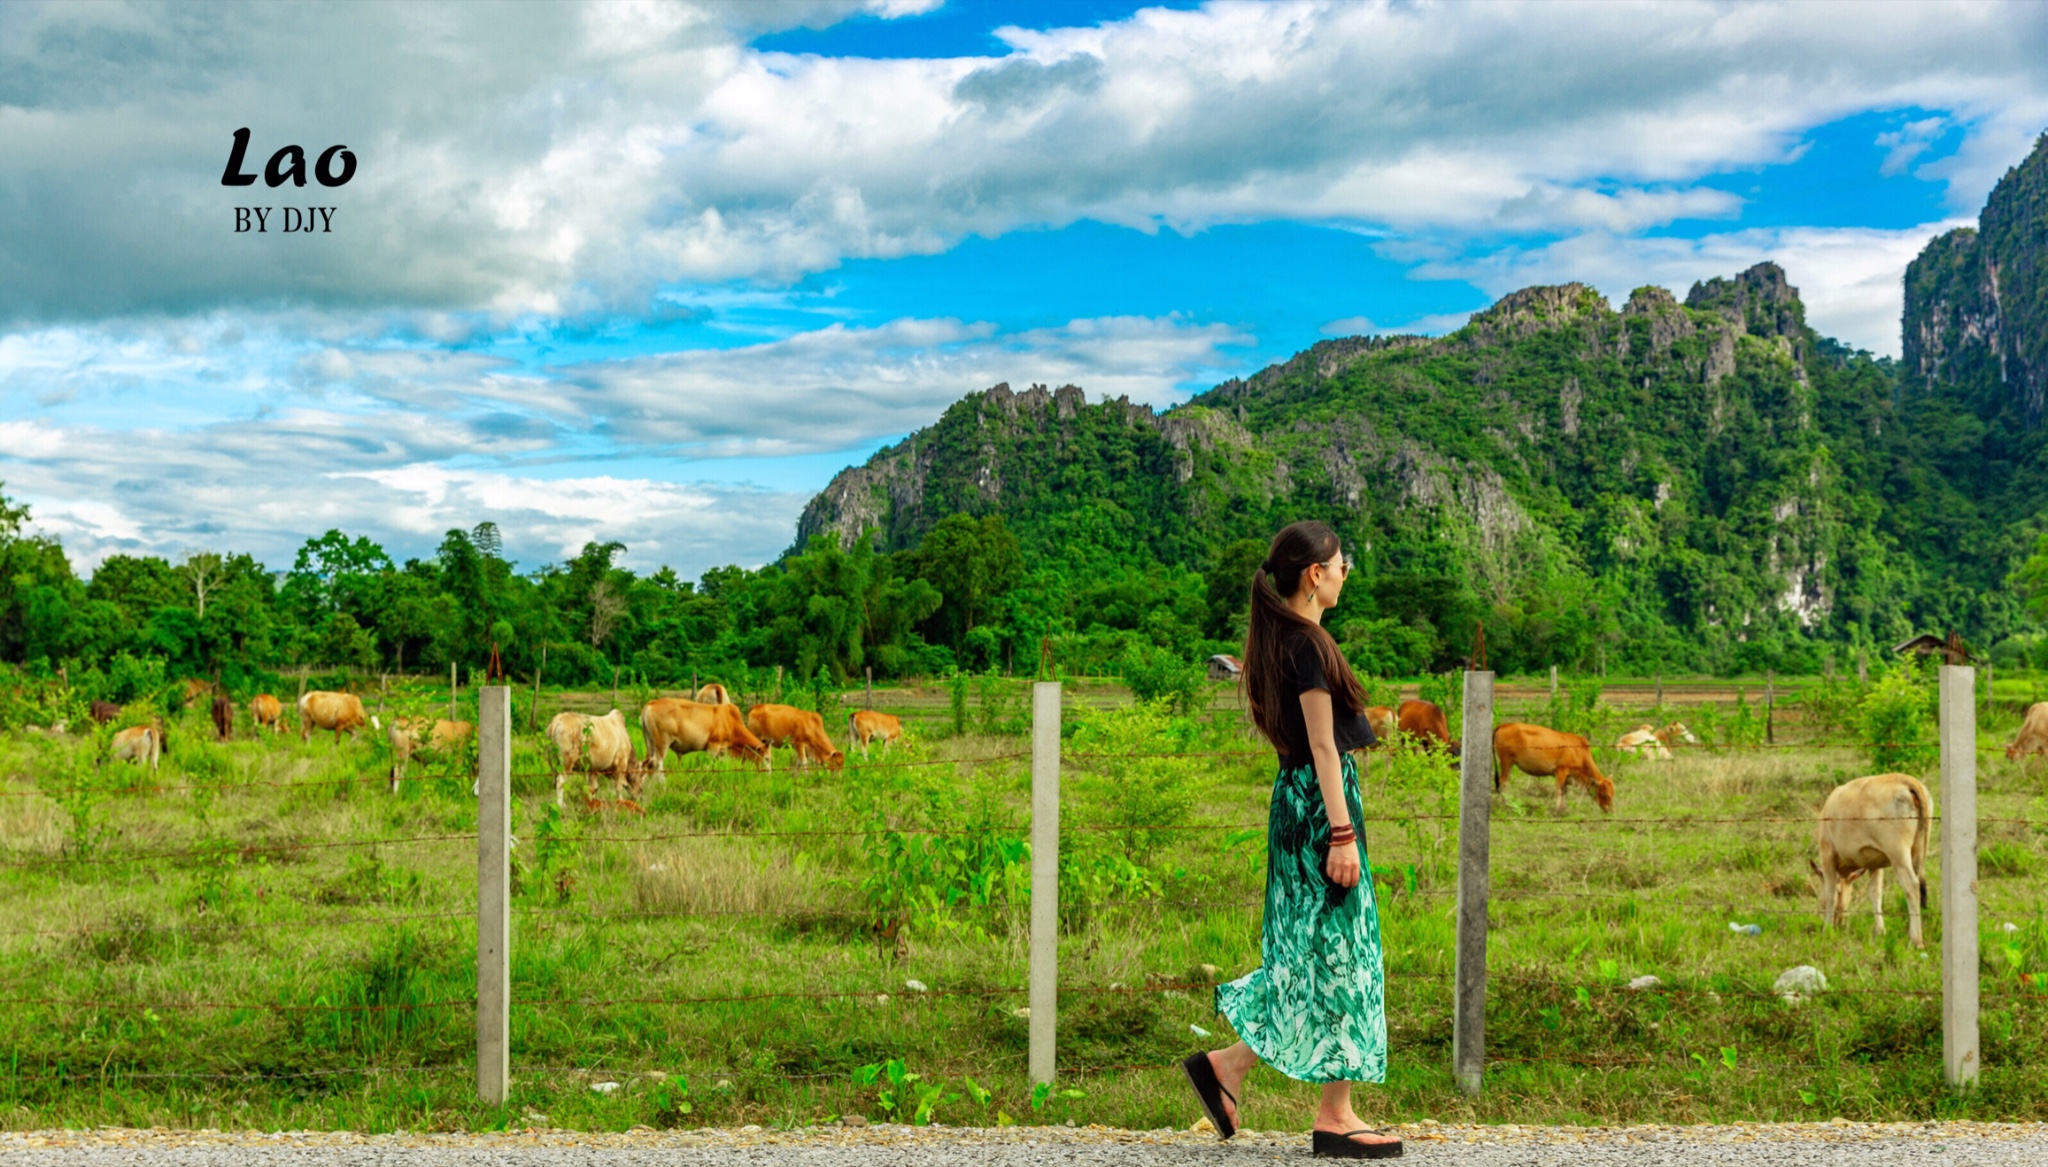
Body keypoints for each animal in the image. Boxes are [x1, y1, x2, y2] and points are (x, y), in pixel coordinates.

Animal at [638, 696, 770, 765]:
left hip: (650, 744)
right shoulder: (713, 747)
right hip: (662, 745)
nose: (768, 775)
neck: (731, 722)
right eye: (767, 759)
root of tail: (652, 703)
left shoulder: (722, 752)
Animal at [1818, 773, 1925, 945]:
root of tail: (1905, 779)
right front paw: (1880, 931)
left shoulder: (1827, 855)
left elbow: (1830, 895)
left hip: (1898, 853)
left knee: (1912, 886)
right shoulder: (1876, 864)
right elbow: (1875, 895)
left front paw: (1826, 929)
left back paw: (1916, 940)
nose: (1838, 923)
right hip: (1917, 852)